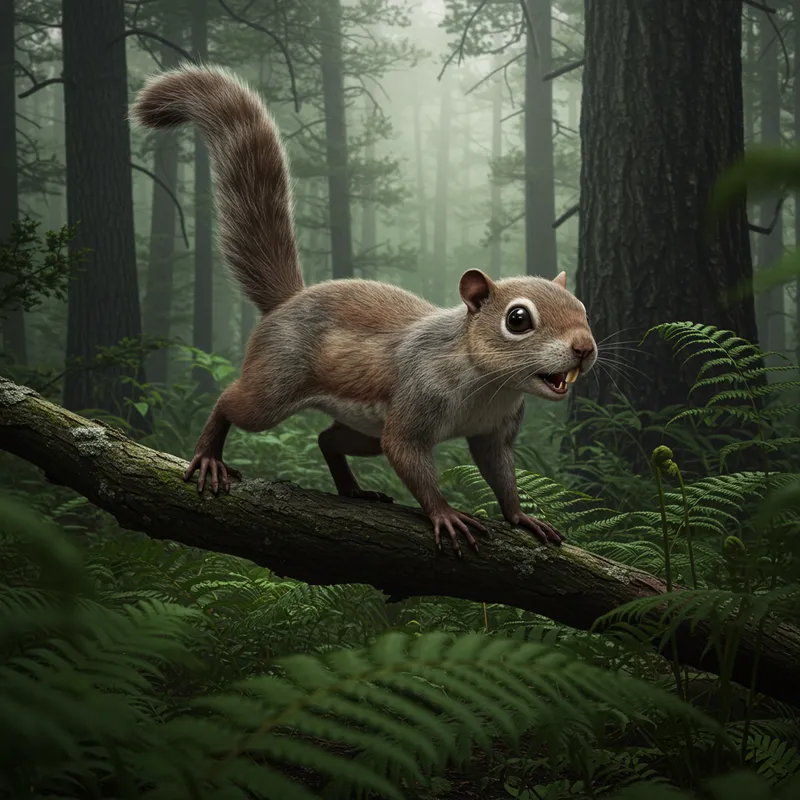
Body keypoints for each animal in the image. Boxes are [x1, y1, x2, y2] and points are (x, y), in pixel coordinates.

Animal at [131, 64, 597, 557]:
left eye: (583, 309)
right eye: (518, 319)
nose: (584, 349)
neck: (489, 384)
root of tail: (288, 302)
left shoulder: (495, 432)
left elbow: (501, 474)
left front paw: (521, 517)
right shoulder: (416, 400)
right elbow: (408, 455)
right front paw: (445, 514)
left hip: (362, 429)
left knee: (328, 438)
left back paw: (353, 489)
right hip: (276, 384)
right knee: (231, 403)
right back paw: (208, 455)